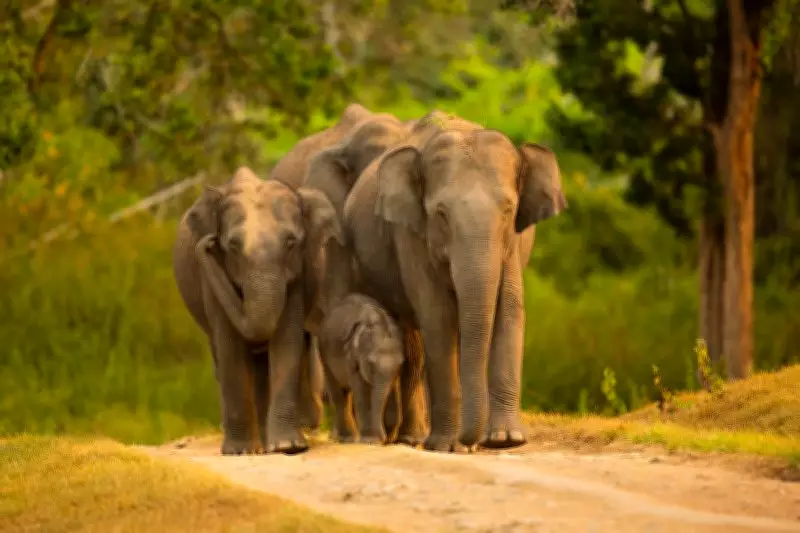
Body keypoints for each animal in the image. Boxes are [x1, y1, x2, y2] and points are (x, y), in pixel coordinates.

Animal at [172, 167, 343, 455]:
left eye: (291, 243)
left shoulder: (298, 272)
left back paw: (266, 443)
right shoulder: (213, 276)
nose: (207, 242)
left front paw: (288, 447)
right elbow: (229, 343)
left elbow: (287, 339)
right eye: (231, 245)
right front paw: (240, 452)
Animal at [317, 293, 405, 444]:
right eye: (370, 363)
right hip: (324, 355)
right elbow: (361, 391)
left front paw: (389, 438)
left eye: (400, 364)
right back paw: (344, 438)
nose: (383, 439)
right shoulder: (351, 359)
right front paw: (369, 440)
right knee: (338, 394)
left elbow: (393, 389)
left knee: (345, 393)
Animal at [342, 110, 567, 452]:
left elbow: (509, 309)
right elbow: (438, 317)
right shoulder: (410, 234)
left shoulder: (512, 244)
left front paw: (506, 440)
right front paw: (446, 446)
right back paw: (410, 439)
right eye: (441, 214)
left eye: (509, 210)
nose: (471, 442)